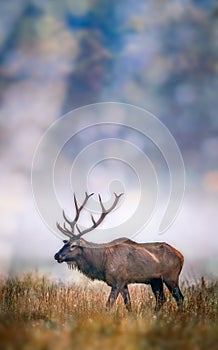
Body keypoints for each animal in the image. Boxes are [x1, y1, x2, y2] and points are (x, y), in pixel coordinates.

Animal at [54, 191, 184, 312]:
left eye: (73, 245)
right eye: (65, 243)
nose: (57, 255)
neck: (101, 263)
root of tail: (181, 256)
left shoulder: (117, 281)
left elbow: (108, 305)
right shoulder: (124, 283)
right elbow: (128, 305)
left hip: (171, 276)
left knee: (179, 298)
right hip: (155, 280)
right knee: (161, 299)